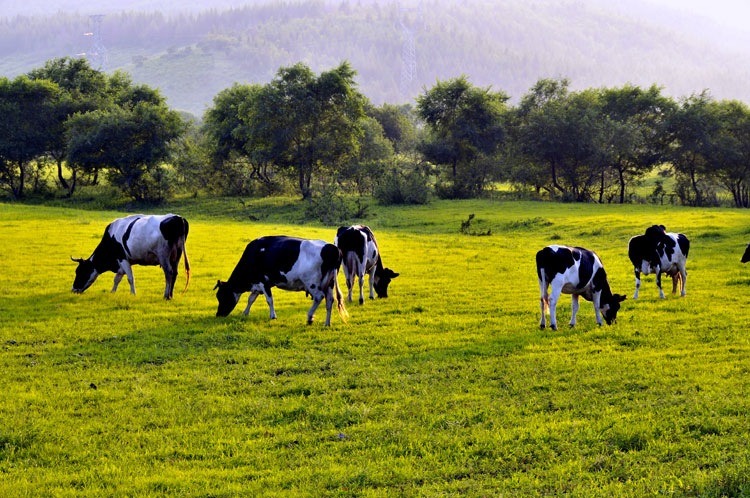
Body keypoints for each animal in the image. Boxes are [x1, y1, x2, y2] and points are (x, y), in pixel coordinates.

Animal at [214, 237, 350, 326]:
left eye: (221, 296)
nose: (218, 315)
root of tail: (332, 248)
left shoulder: (264, 282)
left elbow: (269, 300)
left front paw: (273, 316)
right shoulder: (258, 284)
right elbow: (251, 299)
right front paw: (245, 313)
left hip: (312, 282)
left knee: (319, 297)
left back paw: (309, 317)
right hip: (330, 282)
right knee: (330, 300)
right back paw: (327, 323)